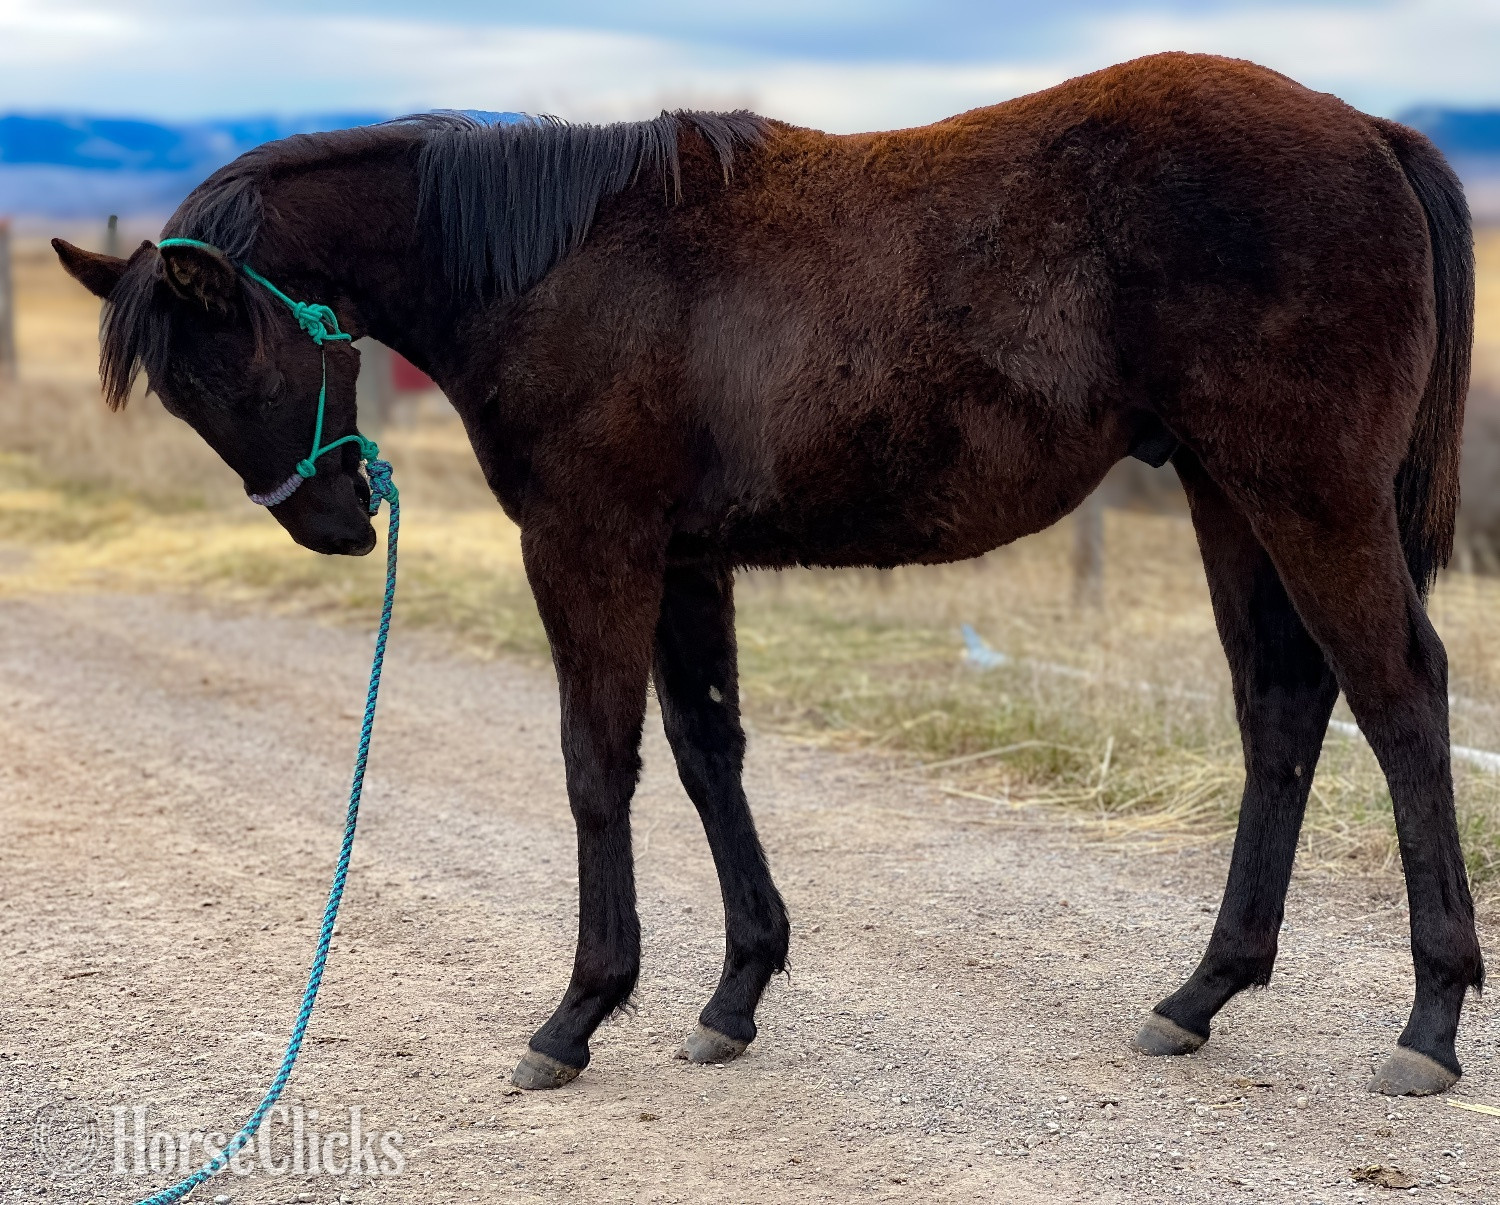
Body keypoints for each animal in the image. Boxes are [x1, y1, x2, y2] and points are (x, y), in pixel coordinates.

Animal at [54, 51, 1479, 1097]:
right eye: (184, 389)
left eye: (229, 359)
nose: (335, 522)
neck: (552, 268)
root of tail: (1366, 132)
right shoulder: (684, 561)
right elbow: (706, 754)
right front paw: (735, 989)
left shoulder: (588, 546)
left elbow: (597, 763)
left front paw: (578, 1010)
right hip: (1227, 494)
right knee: (1283, 706)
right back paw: (1202, 990)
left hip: (1304, 493)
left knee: (1400, 694)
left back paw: (1429, 1017)